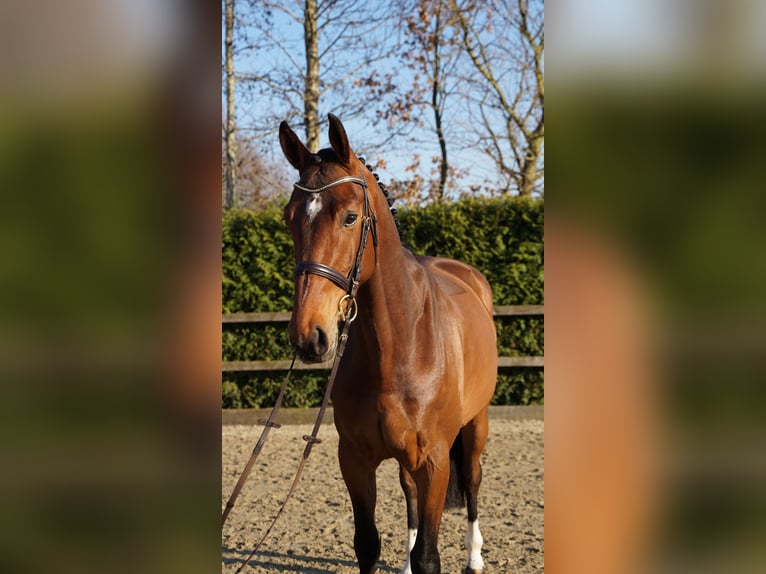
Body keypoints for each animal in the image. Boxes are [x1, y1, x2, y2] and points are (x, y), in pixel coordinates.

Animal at [279, 114, 498, 574]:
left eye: (349, 217)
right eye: (289, 218)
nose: (309, 336)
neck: (400, 344)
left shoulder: (435, 461)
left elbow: (429, 555)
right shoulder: (355, 460)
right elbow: (367, 544)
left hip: (476, 424)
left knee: (472, 480)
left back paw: (474, 556)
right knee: (409, 492)